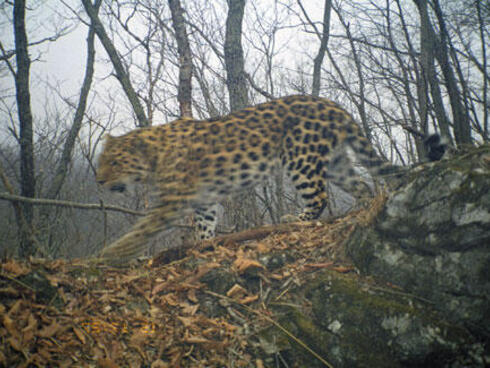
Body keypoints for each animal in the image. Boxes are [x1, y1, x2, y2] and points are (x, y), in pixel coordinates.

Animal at [95, 95, 440, 262]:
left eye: (113, 162)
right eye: (100, 162)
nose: (98, 181)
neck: (154, 157)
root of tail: (333, 105)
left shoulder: (171, 201)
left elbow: (143, 229)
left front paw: (111, 254)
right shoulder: (203, 200)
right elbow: (204, 224)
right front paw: (205, 245)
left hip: (300, 158)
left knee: (318, 196)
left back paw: (296, 219)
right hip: (336, 163)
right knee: (362, 185)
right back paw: (361, 210)